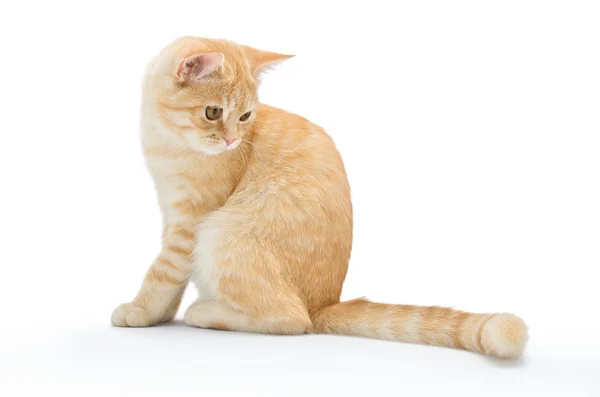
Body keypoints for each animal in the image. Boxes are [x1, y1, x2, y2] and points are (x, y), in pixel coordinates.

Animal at [110, 37, 528, 358]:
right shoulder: (170, 213)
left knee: (293, 319)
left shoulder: (192, 220)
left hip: (223, 233)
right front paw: (161, 314)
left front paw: (141, 310)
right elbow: (171, 276)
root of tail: (324, 304)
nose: (231, 140)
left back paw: (208, 313)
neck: (167, 141)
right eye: (214, 112)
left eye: (245, 117)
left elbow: (162, 271)